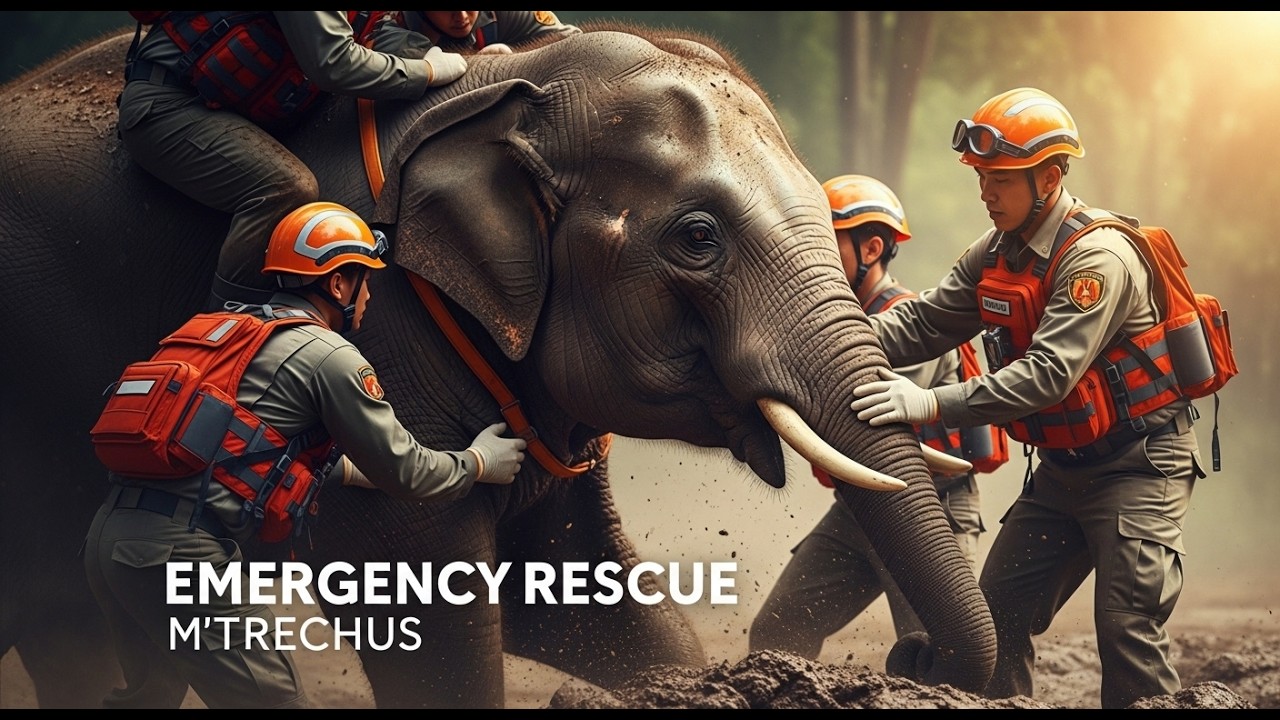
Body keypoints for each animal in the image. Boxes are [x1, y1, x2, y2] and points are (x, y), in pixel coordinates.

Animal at [0, 22, 996, 708]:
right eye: (697, 239)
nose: (915, 658)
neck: (510, 95)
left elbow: (582, 599)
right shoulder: (388, 326)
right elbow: (423, 589)